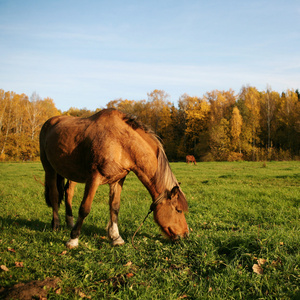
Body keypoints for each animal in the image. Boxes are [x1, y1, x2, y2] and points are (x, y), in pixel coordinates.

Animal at [39, 109, 189, 247]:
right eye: (178, 210)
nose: (185, 235)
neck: (120, 142)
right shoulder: (94, 178)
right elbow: (84, 208)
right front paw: (73, 239)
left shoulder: (117, 181)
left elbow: (115, 207)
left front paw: (116, 237)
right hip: (49, 168)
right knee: (54, 195)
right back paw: (56, 225)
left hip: (72, 173)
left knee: (68, 192)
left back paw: (70, 222)